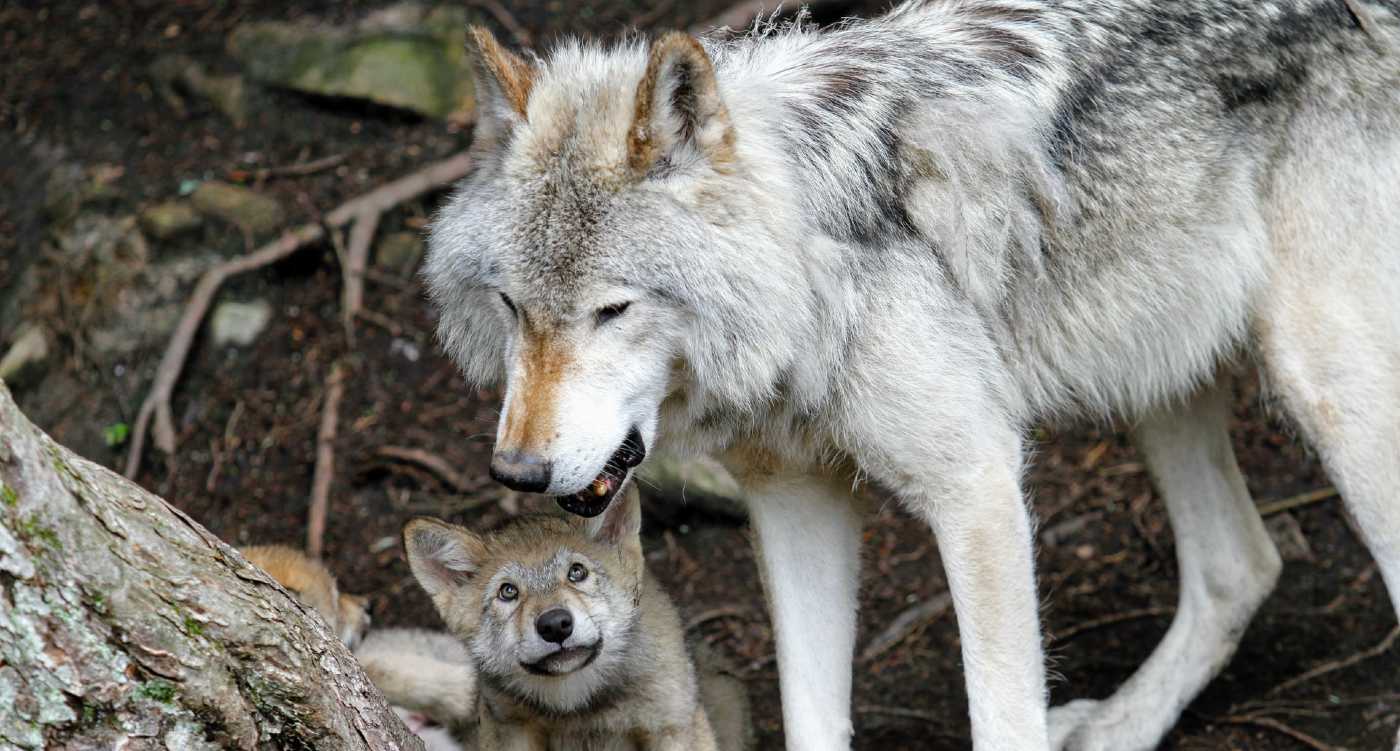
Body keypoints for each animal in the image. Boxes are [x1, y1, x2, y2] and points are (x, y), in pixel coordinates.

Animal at [406, 487, 756, 751]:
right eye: (508, 592)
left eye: (577, 573)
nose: (555, 625)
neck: (579, 705)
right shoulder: (510, 729)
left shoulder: (671, 727)